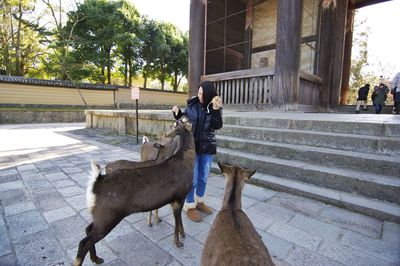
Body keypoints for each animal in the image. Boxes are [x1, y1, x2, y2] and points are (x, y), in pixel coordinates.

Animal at [74, 118, 196, 266]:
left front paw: (183, 234)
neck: (187, 161)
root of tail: (96, 183)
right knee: (83, 242)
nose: (184, 117)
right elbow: (177, 220)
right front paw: (178, 242)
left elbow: (178, 220)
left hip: (100, 215)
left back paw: (96, 259)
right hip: (108, 215)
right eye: (179, 122)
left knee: (87, 229)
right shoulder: (180, 195)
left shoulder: (175, 199)